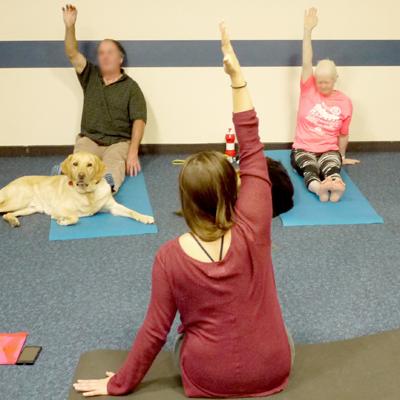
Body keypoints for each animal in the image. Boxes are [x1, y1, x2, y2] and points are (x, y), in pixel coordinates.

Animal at [0, 152, 155, 227]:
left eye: (89, 165)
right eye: (75, 164)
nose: (81, 176)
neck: (88, 193)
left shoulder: (113, 207)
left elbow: (132, 211)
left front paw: (145, 217)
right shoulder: (59, 209)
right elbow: (74, 217)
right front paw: (63, 220)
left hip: (30, 208)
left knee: (6, 214)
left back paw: (13, 220)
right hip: (19, 199)